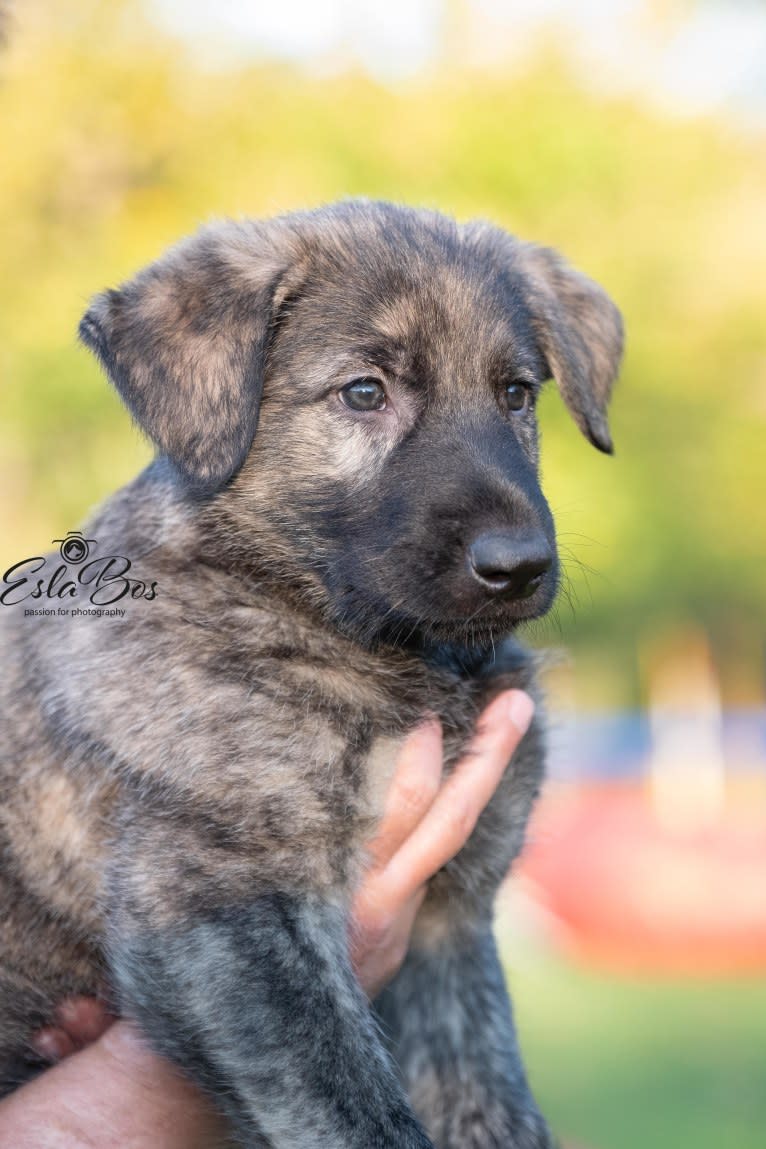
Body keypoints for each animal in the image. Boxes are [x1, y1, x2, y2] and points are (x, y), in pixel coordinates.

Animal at [0, 204, 624, 1149]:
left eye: (516, 394)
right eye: (365, 393)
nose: (517, 565)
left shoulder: (450, 921)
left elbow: (486, 1093)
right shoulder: (220, 899)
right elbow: (350, 1105)